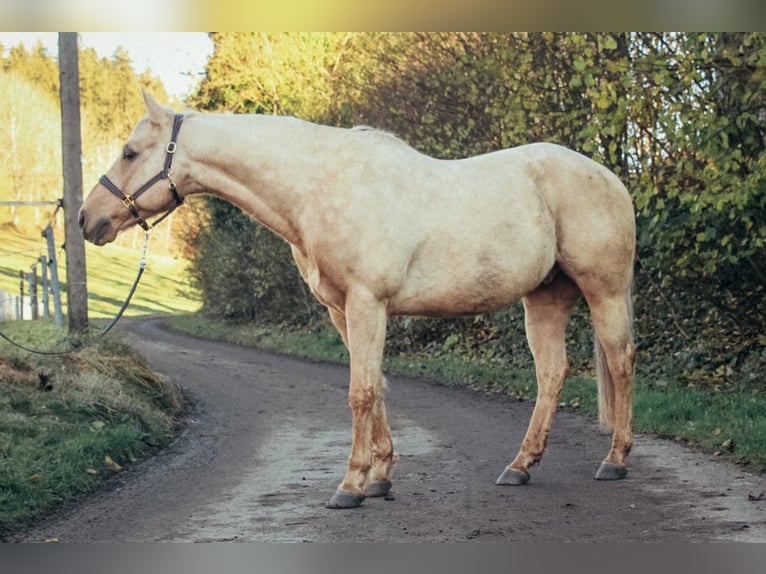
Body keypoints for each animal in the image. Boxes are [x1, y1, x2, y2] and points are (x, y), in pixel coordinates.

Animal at [81, 92, 640, 510]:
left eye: (130, 152)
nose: (89, 220)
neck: (320, 186)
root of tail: (612, 179)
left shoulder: (367, 303)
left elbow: (360, 392)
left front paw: (350, 485)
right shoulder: (342, 310)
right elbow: (376, 386)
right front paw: (381, 477)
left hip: (604, 291)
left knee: (620, 362)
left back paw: (614, 461)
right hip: (544, 299)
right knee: (552, 374)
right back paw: (520, 466)